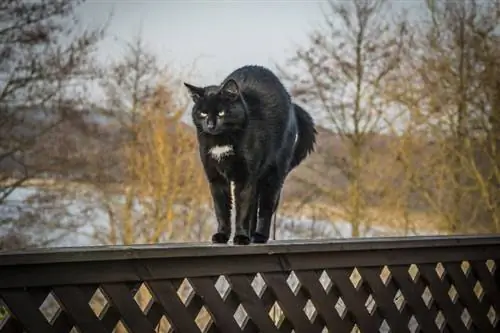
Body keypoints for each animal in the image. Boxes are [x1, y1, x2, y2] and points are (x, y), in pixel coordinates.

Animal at [184, 65, 316, 244]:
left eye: (221, 113)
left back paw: (259, 236)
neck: (221, 142)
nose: (210, 125)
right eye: (203, 113)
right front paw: (222, 235)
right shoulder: (216, 178)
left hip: (274, 174)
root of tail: (292, 105)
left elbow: (243, 210)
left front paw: (240, 237)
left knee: (265, 208)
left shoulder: (246, 176)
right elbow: (222, 209)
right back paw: (251, 234)